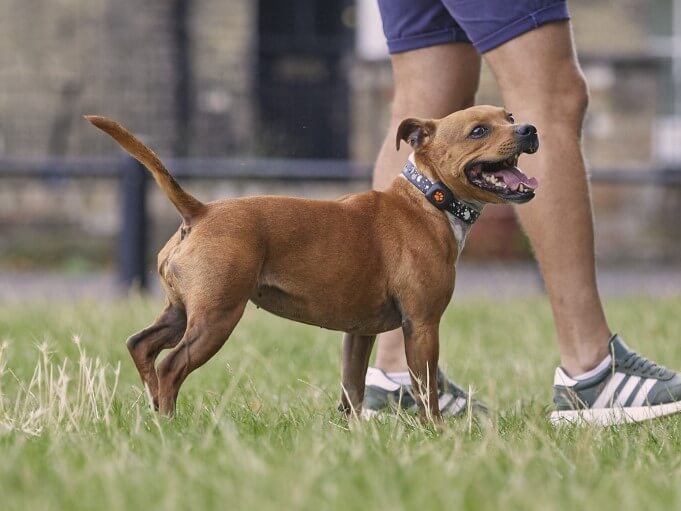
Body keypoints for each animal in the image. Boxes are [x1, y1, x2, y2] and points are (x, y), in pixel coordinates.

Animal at [86, 105, 536, 420]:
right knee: (171, 366)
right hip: (217, 318)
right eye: (479, 129)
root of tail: (200, 211)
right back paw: (170, 424)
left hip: (182, 312)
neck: (428, 199)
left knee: (142, 346)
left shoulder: (359, 333)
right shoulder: (422, 326)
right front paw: (436, 434)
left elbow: (352, 391)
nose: (529, 129)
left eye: (509, 116)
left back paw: (154, 411)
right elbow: (425, 391)